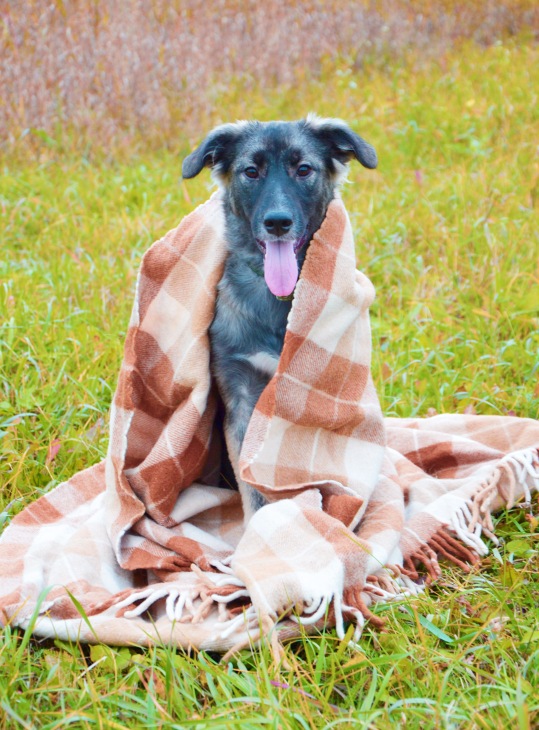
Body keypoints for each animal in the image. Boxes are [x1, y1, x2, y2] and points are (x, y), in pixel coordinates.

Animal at [182, 116, 377, 518]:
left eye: (303, 169)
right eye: (251, 172)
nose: (277, 223)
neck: (279, 298)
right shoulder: (241, 395)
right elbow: (253, 488)